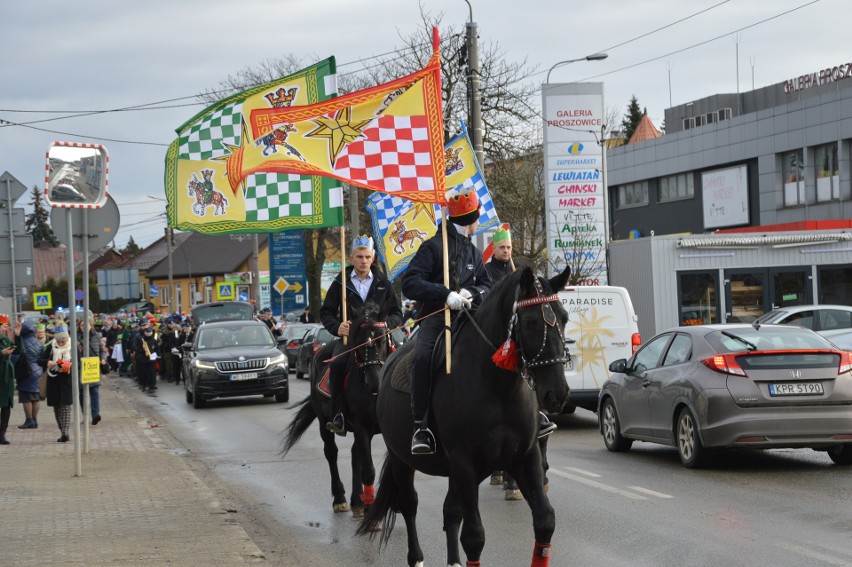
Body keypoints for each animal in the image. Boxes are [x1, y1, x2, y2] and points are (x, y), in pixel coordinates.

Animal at [282, 304, 392, 516]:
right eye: (359, 342)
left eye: (382, 339)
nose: (374, 382)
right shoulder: (361, 426)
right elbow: (369, 470)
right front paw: (371, 510)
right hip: (324, 422)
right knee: (331, 452)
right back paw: (341, 499)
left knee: (354, 454)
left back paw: (358, 500)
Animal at [356, 268, 568, 567]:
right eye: (530, 323)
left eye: (564, 317)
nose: (557, 393)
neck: (498, 389)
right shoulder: (465, 464)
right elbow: (474, 536)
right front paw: (456, 298)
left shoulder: (525, 457)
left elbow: (545, 520)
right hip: (402, 460)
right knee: (409, 504)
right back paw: (416, 558)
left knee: (451, 511)